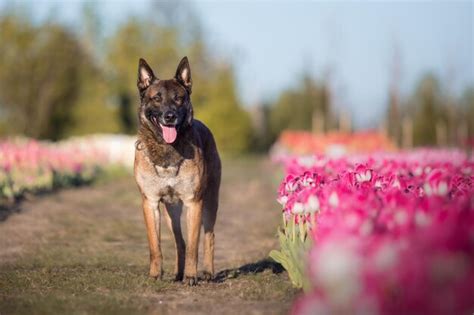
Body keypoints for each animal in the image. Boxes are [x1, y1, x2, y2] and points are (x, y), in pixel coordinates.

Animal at [134, 56, 221, 286]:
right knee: (178, 241)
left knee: (208, 237)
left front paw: (191, 276)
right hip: (170, 210)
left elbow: (193, 246)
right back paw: (177, 273)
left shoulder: (194, 203)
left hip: (210, 202)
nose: (170, 116)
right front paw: (155, 275)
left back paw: (206, 272)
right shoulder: (150, 203)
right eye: (156, 98)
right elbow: (155, 246)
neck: (167, 148)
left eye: (179, 99)